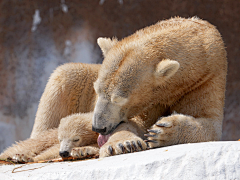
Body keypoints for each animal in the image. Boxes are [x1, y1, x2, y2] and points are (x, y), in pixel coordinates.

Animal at [30, 16, 227, 158]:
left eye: (118, 99)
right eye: (97, 91)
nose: (98, 128)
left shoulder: (205, 78)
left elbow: (208, 122)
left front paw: (162, 131)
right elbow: (133, 123)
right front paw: (124, 144)